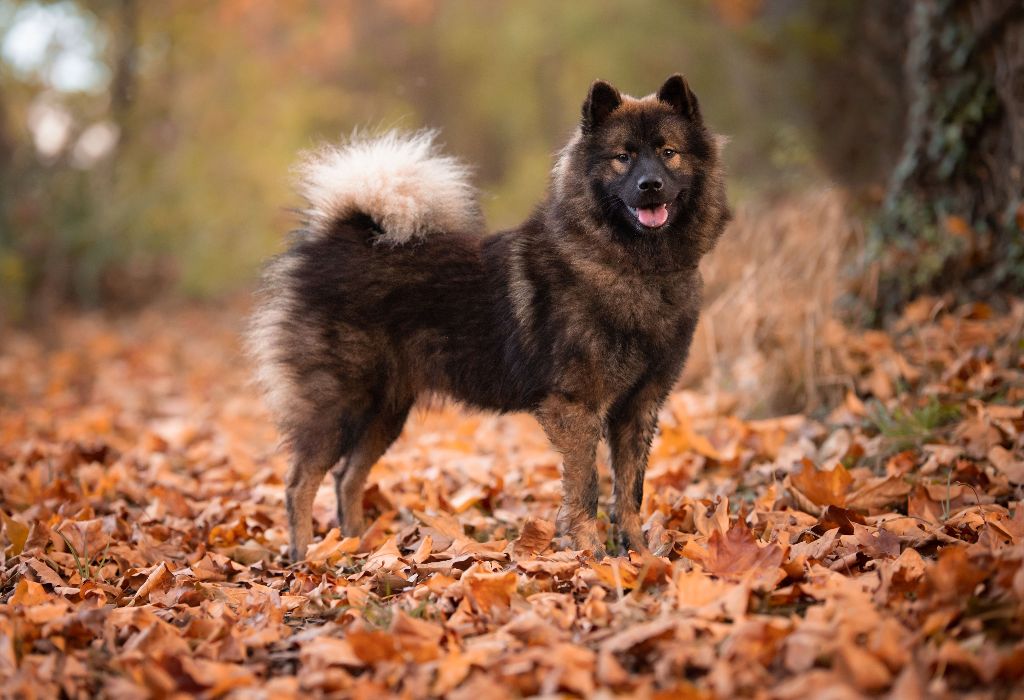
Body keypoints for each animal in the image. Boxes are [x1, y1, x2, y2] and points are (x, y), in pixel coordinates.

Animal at [247, 73, 729, 560]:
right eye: (623, 157)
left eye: (668, 152)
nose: (650, 185)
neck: (634, 268)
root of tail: (335, 240)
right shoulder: (577, 407)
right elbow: (587, 489)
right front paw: (591, 556)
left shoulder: (639, 406)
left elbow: (630, 491)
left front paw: (641, 557)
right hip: (340, 404)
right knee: (300, 481)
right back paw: (306, 555)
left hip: (385, 411)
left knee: (347, 478)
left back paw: (356, 547)